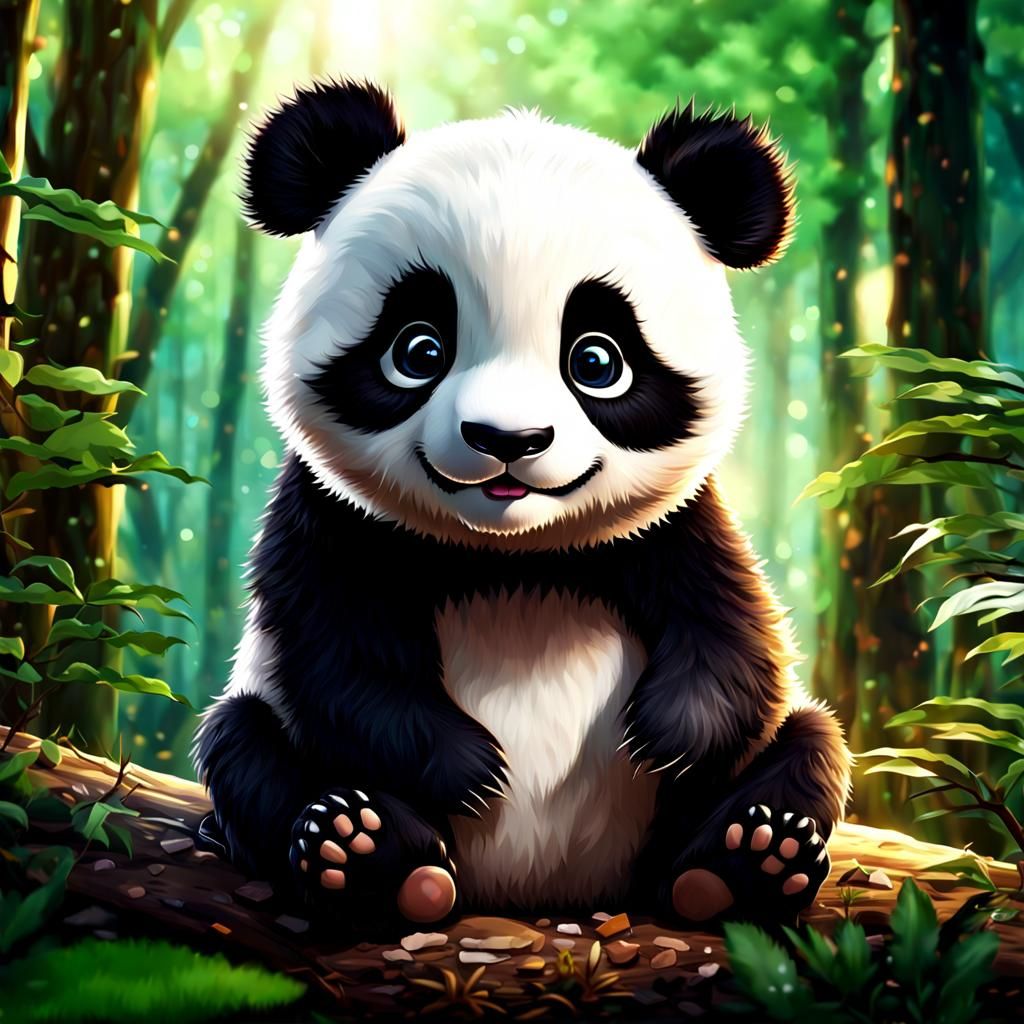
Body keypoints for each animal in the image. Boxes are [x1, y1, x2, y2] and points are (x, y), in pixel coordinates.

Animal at [194, 78, 851, 928]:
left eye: (597, 360)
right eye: (418, 350)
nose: (508, 438)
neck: (511, 550)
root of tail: (543, 889)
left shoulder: (681, 527)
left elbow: (736, 638)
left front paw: (666, 737)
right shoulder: (330, 518)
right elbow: (336, 658)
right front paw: (471, 767)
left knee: (809, 740)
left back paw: (747, 860)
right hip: (263, 723)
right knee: (246, 748)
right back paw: (373, 855)